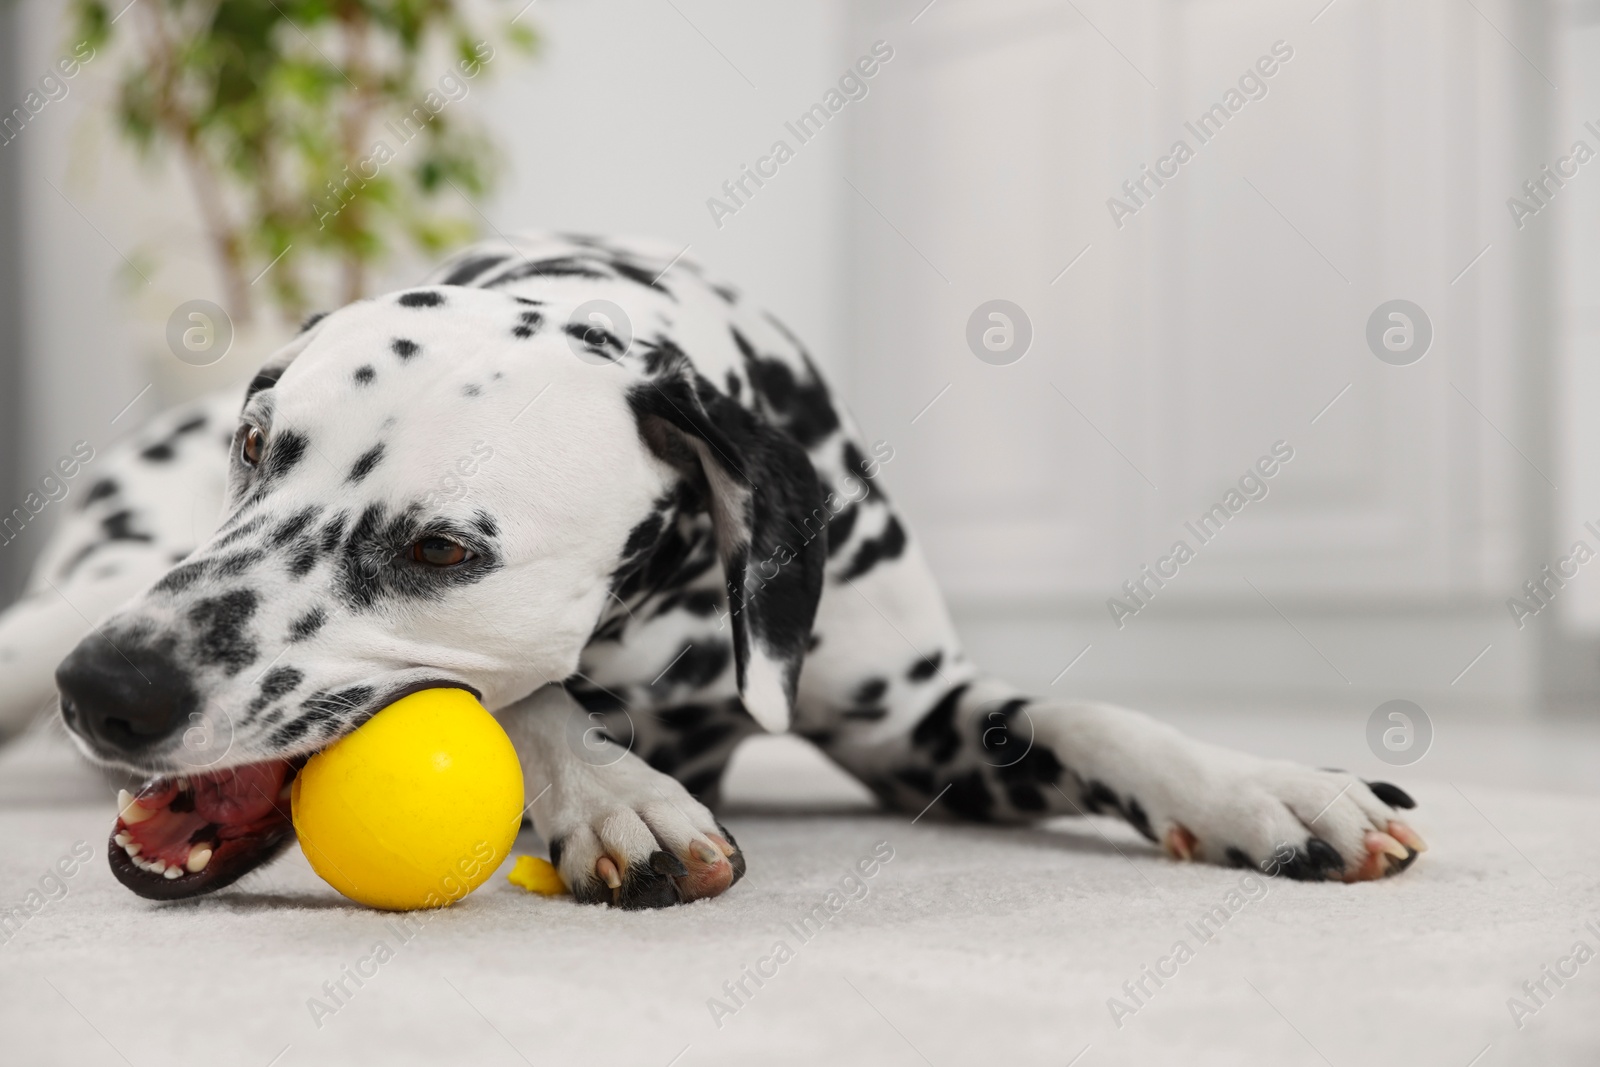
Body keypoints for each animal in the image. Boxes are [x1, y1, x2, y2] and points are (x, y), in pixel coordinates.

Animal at [0, 233, 1427, 908]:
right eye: (258, 444)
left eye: (439, 549)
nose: (106, 689)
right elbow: (531, 699)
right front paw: (613, 792)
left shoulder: (921, 721)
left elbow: (1094, 715)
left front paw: (1266, 786)